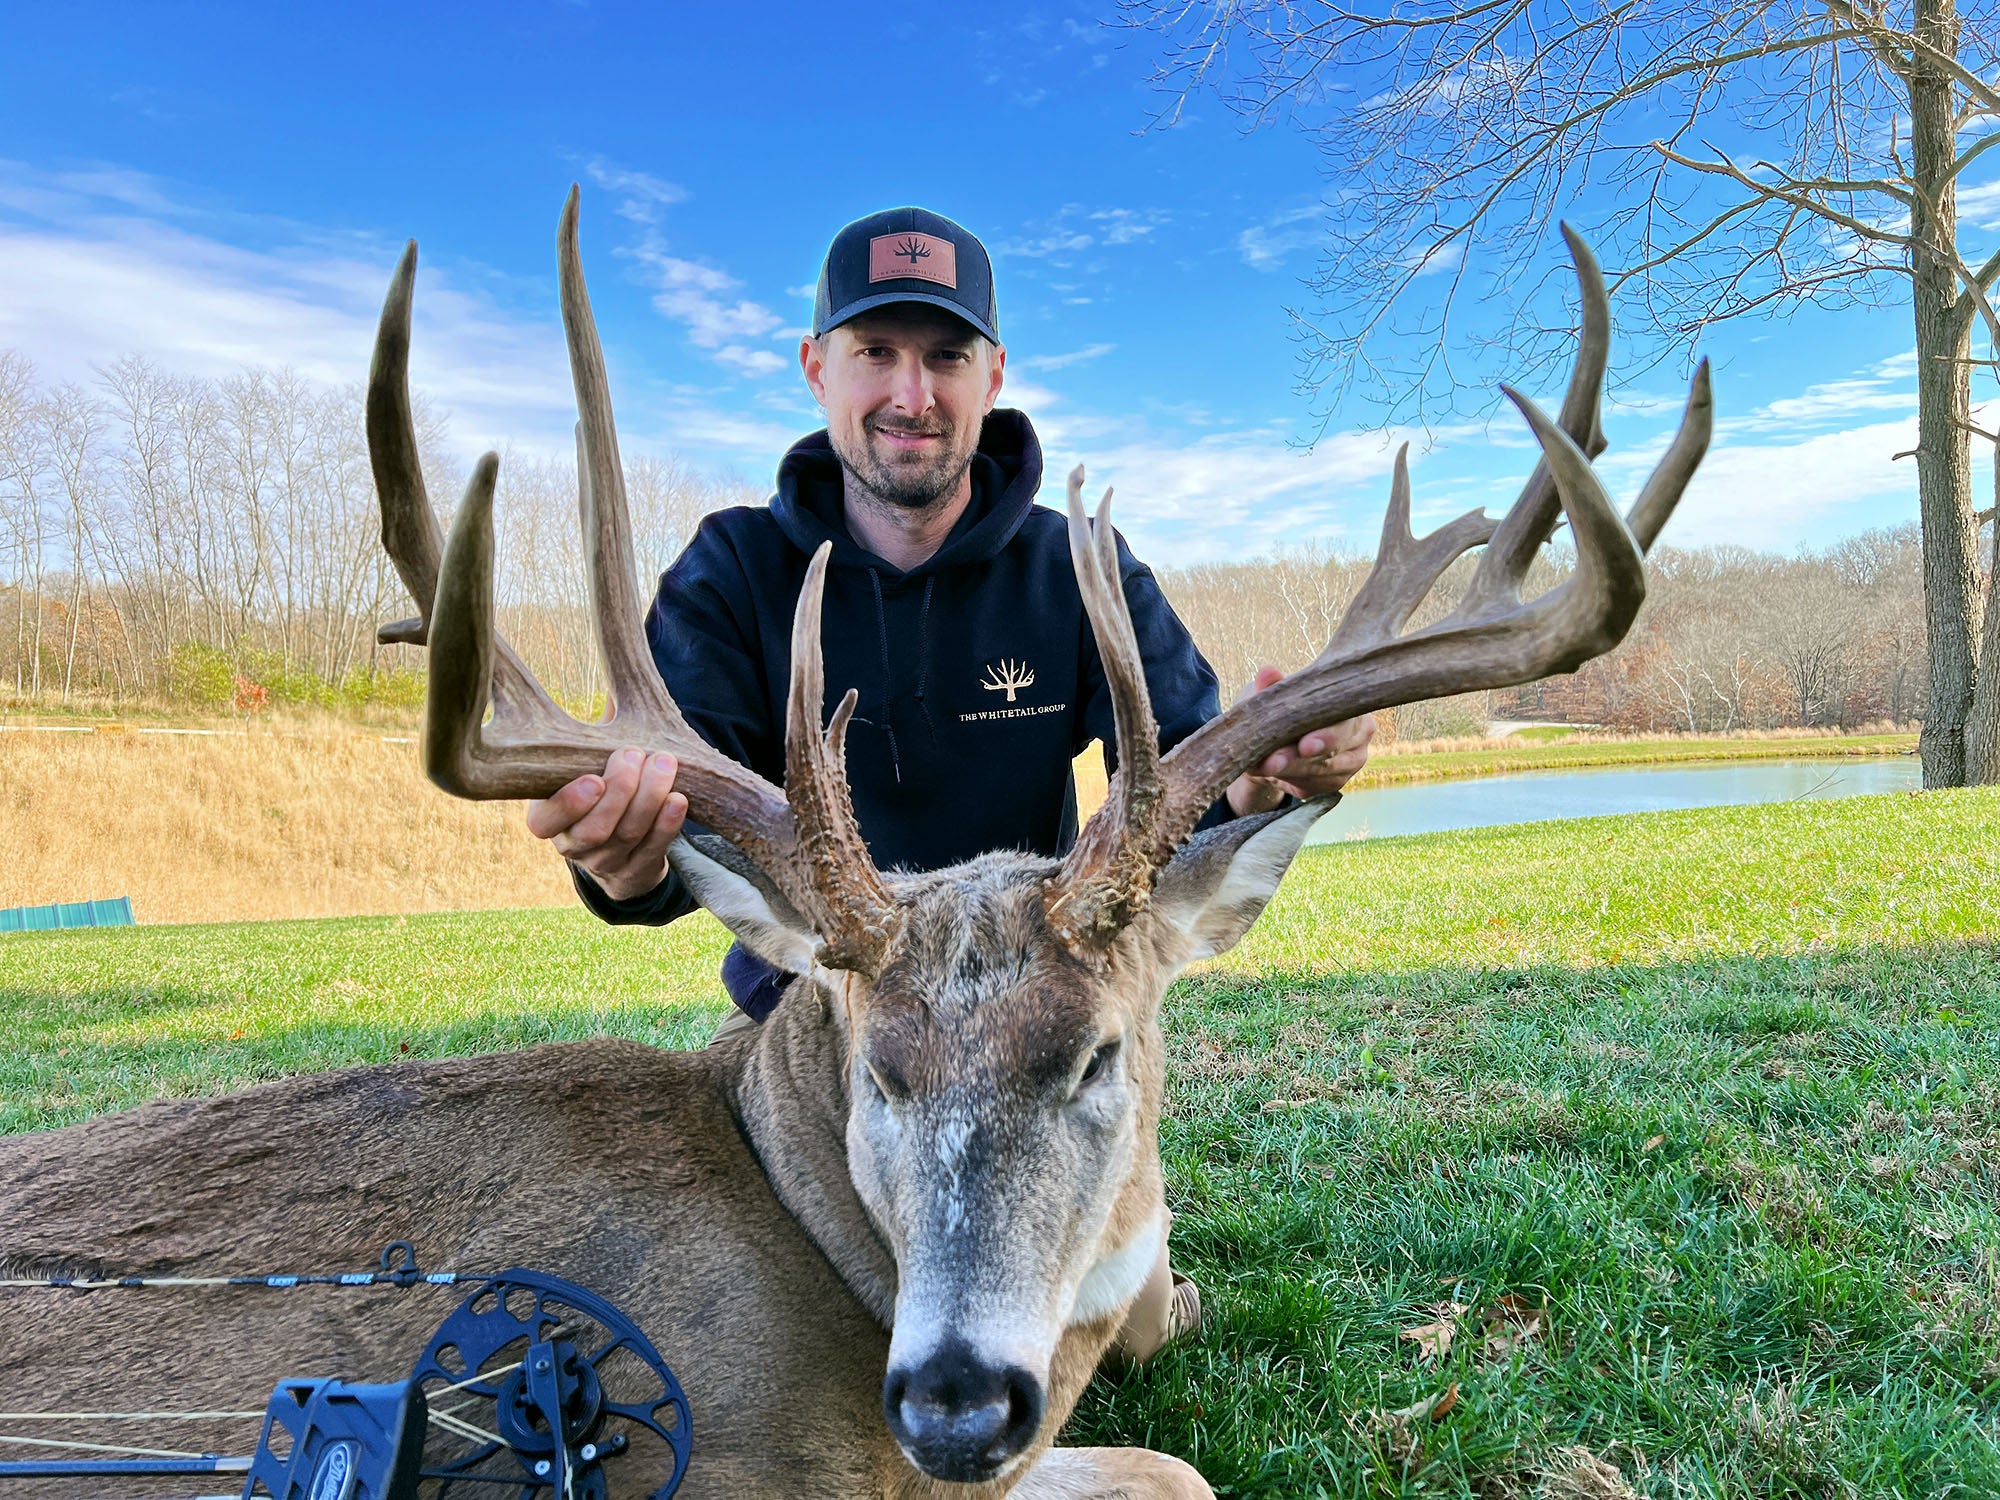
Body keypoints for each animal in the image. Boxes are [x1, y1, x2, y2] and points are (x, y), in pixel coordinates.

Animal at [0, 190, 1710, 1499]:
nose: (955, 1400)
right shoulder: (756, 1464)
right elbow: (1183, 1470)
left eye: (1096, 1055)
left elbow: (1172, 1455)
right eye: (878, 1072)